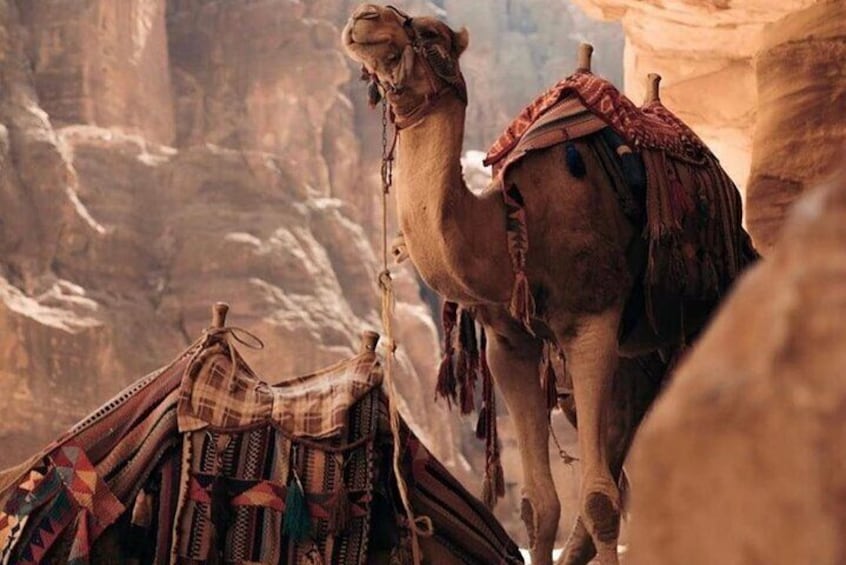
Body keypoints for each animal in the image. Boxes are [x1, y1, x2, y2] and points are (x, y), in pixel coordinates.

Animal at [341, 4, 758, 565]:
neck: (511, 227)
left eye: (429, 31)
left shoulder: (592, 323)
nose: (365, 17)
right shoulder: (509, 343)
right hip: (632, 358)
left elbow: (600, 501)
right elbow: (541, 506)